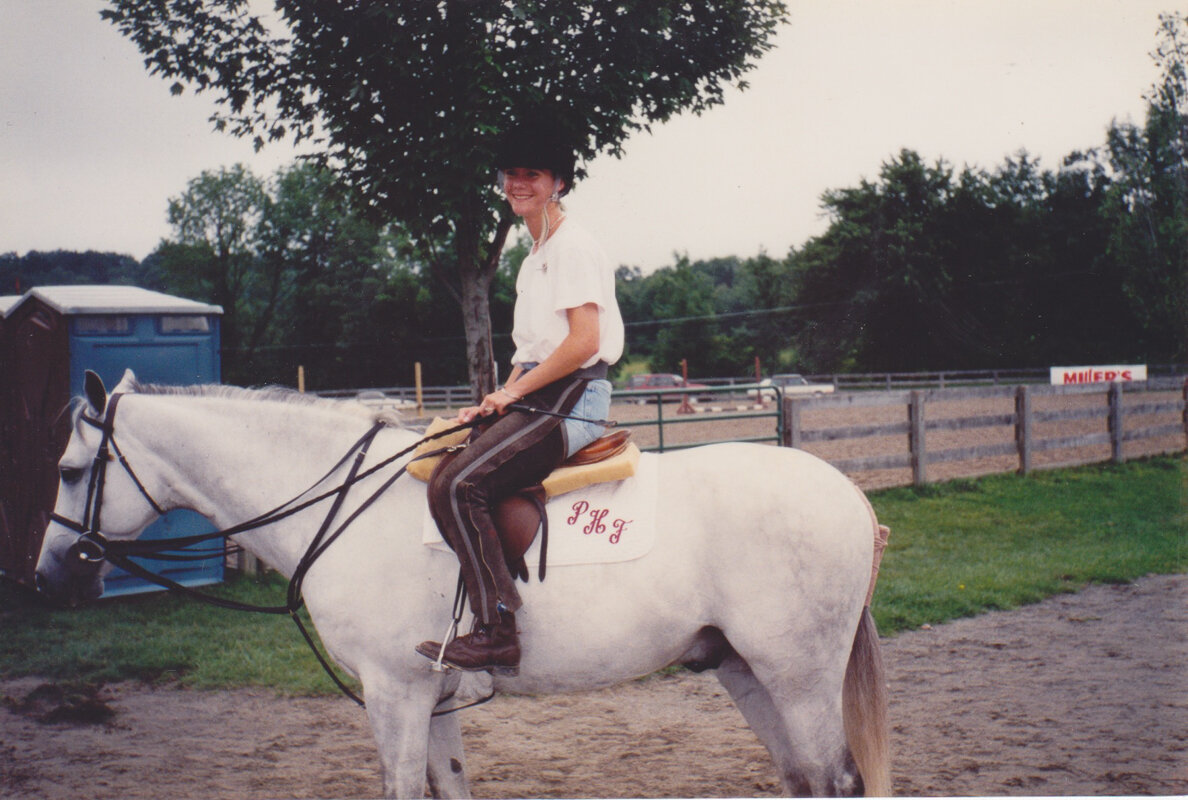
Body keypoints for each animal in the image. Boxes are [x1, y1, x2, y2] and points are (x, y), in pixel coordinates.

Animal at [34, 370, 893, 794]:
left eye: (71, 471)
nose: (49, 576)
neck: (341, 506)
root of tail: (846, 492)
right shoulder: (433, 696)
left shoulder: (395, 691)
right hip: (743, 667)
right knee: (805, 781)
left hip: (797, 672)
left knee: (836, 779)